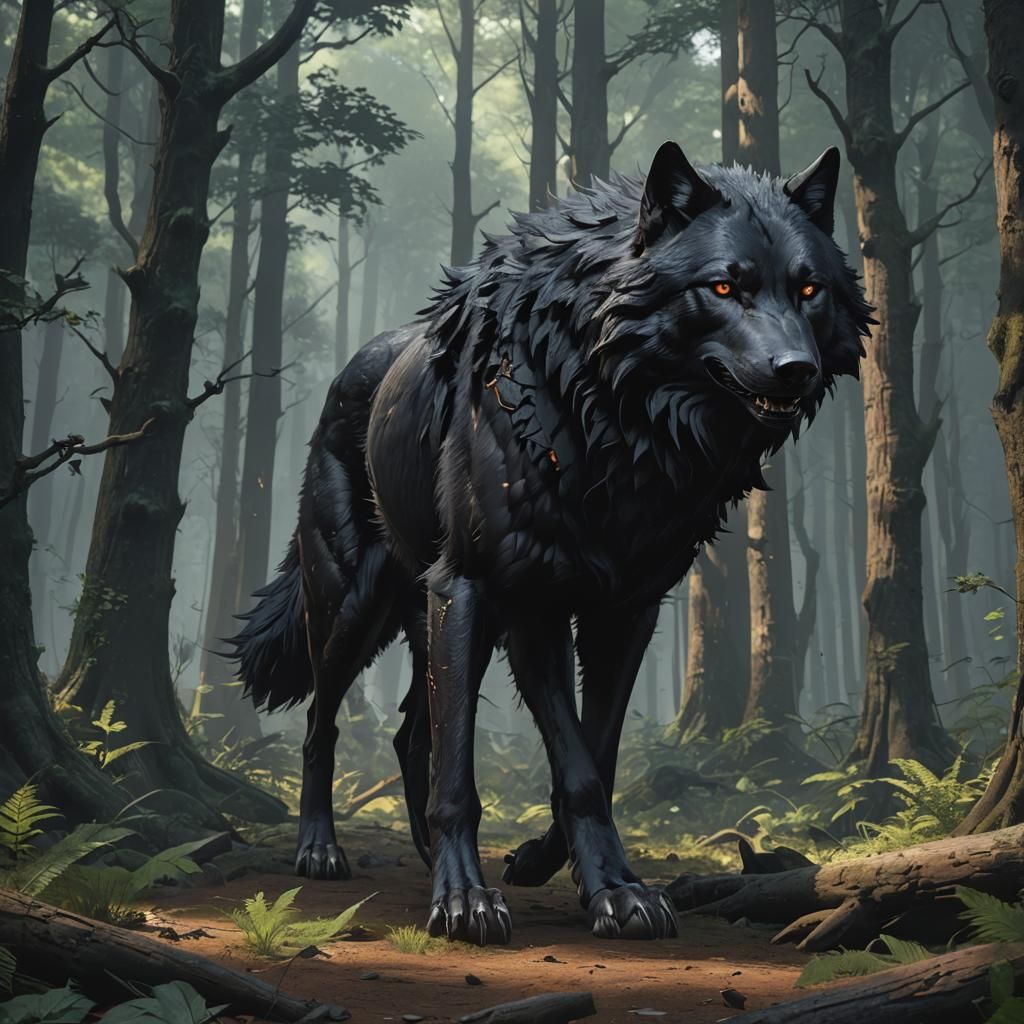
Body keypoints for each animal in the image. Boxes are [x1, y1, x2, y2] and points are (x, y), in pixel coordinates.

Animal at [229, 141, 871, 946]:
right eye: (724, 286)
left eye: (809, 288)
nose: (797, 370)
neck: (610, 421)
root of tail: (352, 367)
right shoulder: (492, 592)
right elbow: (478, 775)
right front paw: (466, 901)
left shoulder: (621, 611)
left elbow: (591, 761)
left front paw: (587, 877)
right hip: (355, 608)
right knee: (323, 723)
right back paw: (322, 849)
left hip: (428, 619)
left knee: (412, 733)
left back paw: (424, 853)